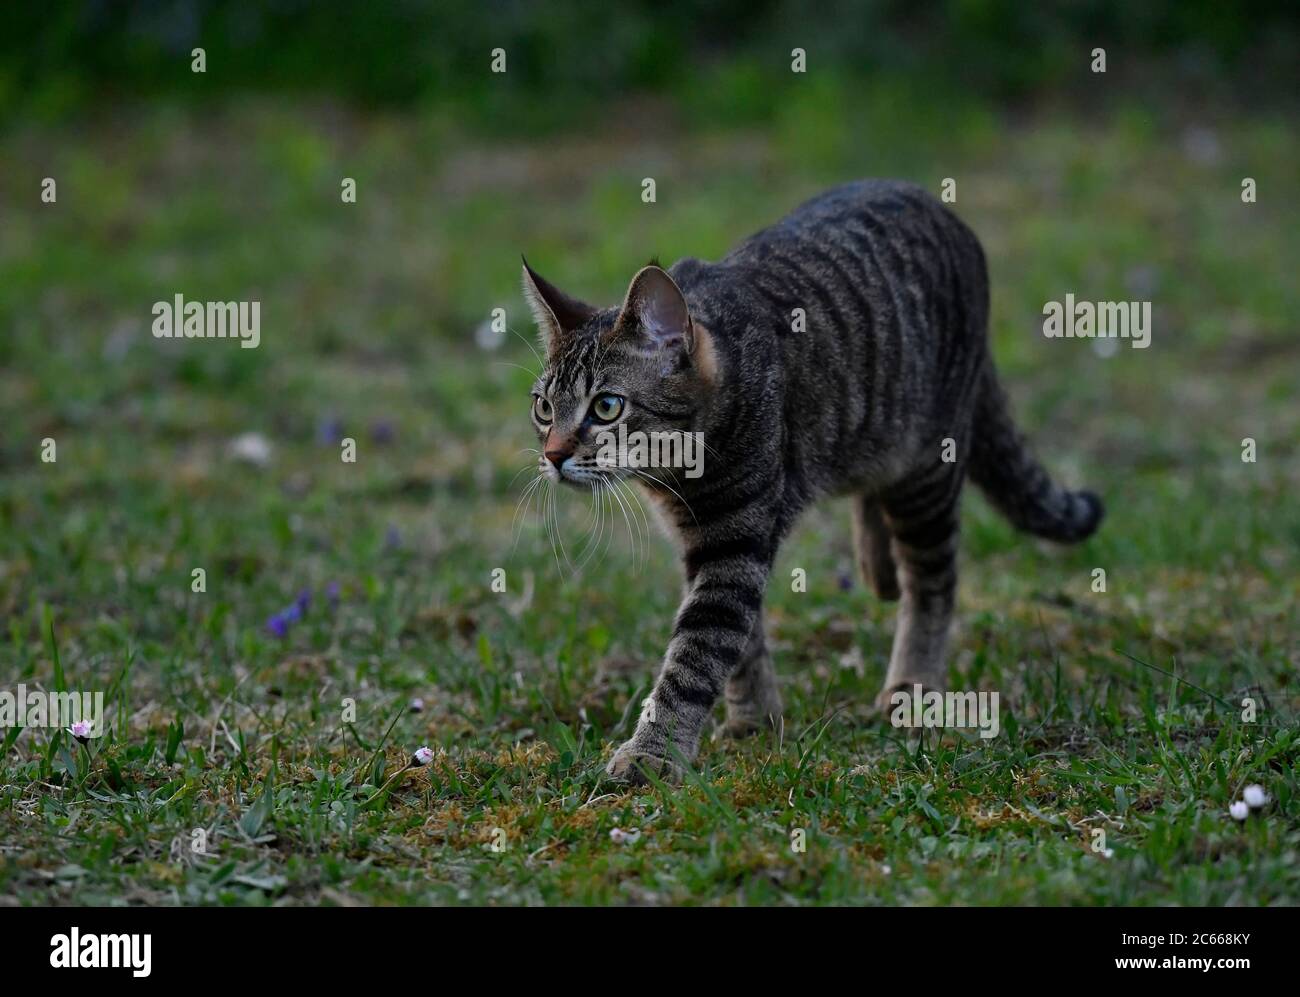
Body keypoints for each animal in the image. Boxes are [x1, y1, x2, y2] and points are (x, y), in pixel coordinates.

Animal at [522, 181, 1102, 790]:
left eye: (606, 407)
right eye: (543, 408)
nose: (553, 455)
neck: (677, 476)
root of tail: (937, 205)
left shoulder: (734, 542)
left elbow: (696, 655)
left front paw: (653, 754)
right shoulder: (701, 543)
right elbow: (743, 647)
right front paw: (754, 719)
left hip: (928, 468)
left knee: (933, 582)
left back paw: (913, 683)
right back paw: (876, 565)